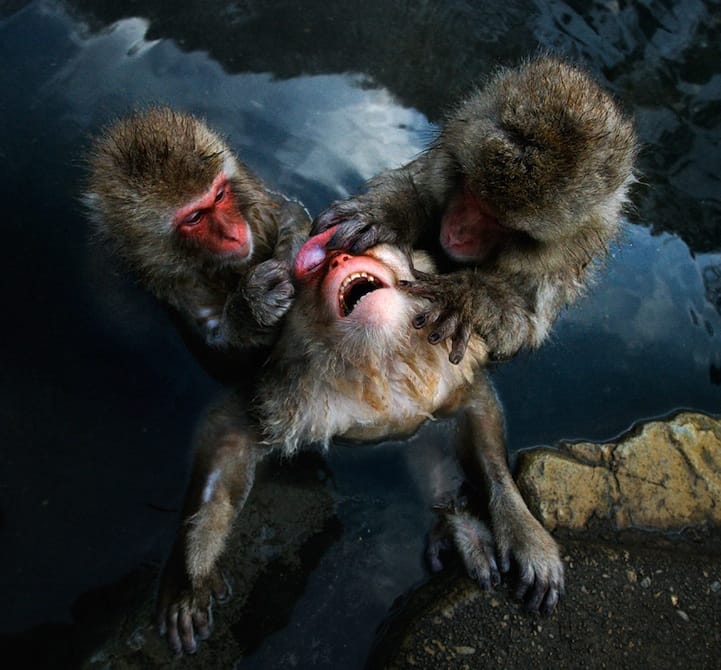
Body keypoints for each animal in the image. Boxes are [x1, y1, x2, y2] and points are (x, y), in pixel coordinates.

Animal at [83, 107, 310, 353]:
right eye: (194, 218)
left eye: (219, 196)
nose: (233, 233)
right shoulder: (179, 287)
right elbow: (217, 343)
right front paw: (252, 304)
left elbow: (291, 211)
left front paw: (291, 257)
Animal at [312, 56, 638, 364]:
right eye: (470, 193)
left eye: (501, 223)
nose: (457, 234)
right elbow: (415, 186)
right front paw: (386, 214)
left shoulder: (557, 275)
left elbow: (522, 326)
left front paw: (464, 297)